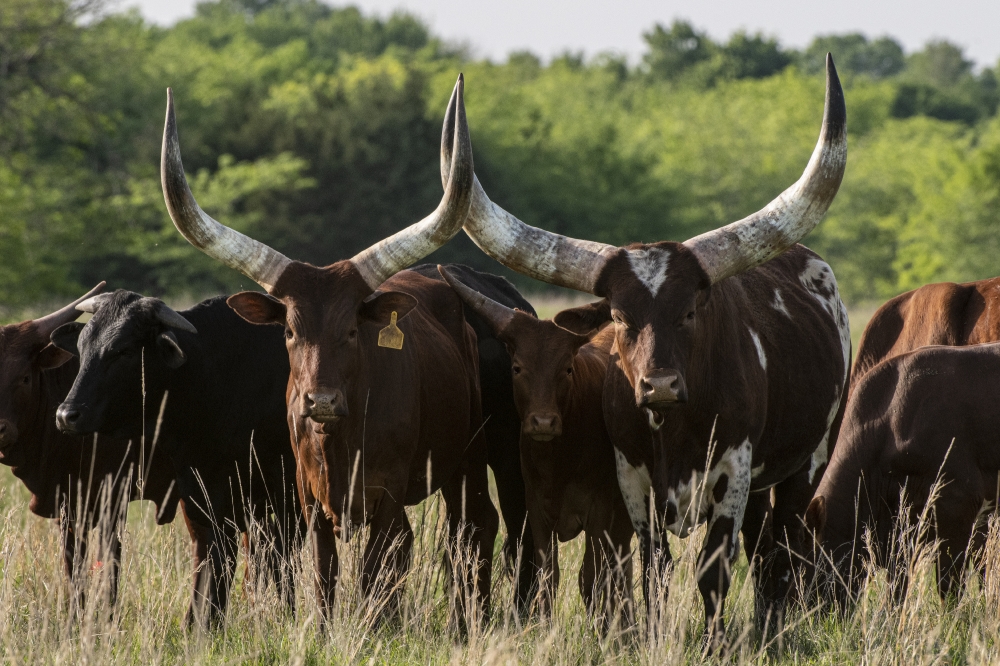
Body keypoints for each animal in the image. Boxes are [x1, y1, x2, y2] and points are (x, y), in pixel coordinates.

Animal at [0, 282, 178, 604]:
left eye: (24, 378)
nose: (0, 430)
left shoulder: (113, 502)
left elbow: (109, 572)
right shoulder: (68, 508)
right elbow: (74, 572)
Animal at [50, 290, 298, 624]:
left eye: (124, 351)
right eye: (82, 346)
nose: (67, 415)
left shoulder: (287, 497)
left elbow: (279, 565)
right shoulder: (200, 497)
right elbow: (213, 566)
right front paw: (201, 625)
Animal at [452, 54, 852, 644]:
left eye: (690, 312)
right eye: (619, 317)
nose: (659, 385)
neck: (675, 432)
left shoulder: (732, 472)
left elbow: (712, 572)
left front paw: (714, 644)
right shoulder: (634, 483)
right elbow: (653, 571)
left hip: (808, 461)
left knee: (784, 547)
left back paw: (771, 631)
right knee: (764, 547)